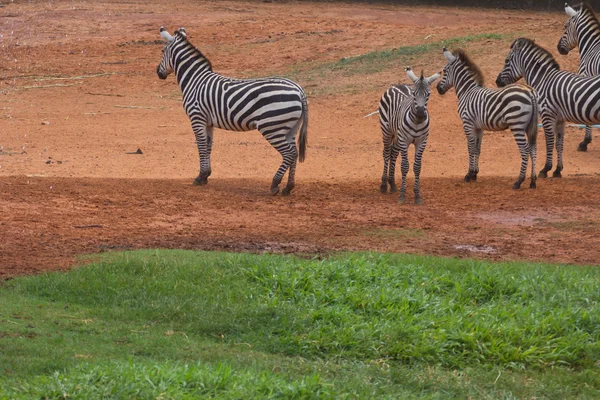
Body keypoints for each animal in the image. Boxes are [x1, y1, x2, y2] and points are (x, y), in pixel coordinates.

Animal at [157, 26, 308, 195]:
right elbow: (208, 146)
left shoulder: (197, 117)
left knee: (289, 153)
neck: (195, 80)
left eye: (162, 51)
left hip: (271, 127)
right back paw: (288, 187)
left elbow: (201, 146)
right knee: (294, 153)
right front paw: (206, 175)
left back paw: (275, 184)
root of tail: (299, 90)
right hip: (290, 127)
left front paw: (200, 177)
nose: (158, 73)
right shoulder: (208, 122)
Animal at [380, 67, 440, 205]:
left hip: (397, 136)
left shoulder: (422, 142)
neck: (417, 123)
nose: (420, 114)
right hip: (387, 130)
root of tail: (397, 85)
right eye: (414, 94)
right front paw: (402, 195)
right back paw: (384, 185)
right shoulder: (404, 141)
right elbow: (404, 166)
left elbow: (417, 167)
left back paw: (392, 184)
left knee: (393, 153)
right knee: (386, 153)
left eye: (428, 94)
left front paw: (417, 195)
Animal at [436, 48, 540, 189]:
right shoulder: (479, 127)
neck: (467, 92)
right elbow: (477, 148)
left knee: (525, 150)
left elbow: (470, 148)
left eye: (445, 71)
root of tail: (530, 92)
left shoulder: (467, 124)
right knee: (533, 149)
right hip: (530, 125)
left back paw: (519, 181)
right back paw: (533, 181)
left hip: (517, 125)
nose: (438, 89)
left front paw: (469, 174)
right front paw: (475, 173)